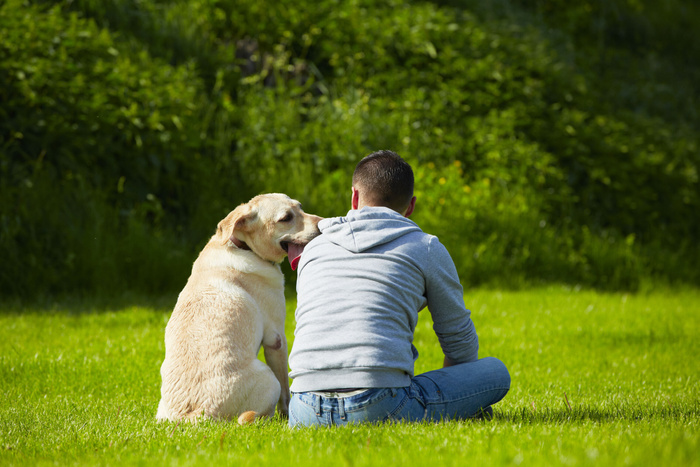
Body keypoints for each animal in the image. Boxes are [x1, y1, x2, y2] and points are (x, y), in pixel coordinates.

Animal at [155, 193, 320, 424]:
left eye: (301, 207)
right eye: (286, 218)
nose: (323, 223)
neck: (243, 246)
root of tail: (193, 414)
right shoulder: (277, 339)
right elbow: (286, 392)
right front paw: (288, 414)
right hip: (269, 379)